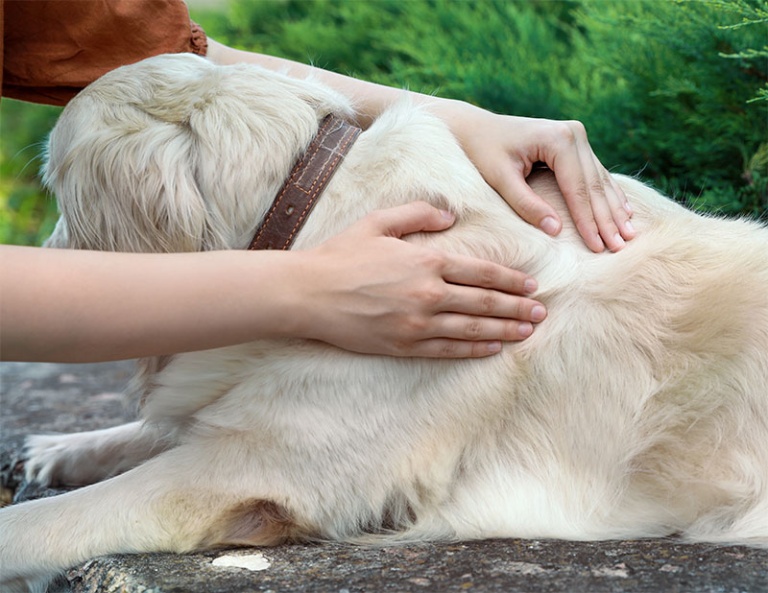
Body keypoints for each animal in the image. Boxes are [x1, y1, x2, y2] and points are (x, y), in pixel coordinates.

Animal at [1, 53, 768, 588]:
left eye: (55, 191)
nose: (40, 260)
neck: (312, 215)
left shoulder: (245, 471)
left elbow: (52, 519)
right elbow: (161, 426)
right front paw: (61, 449)